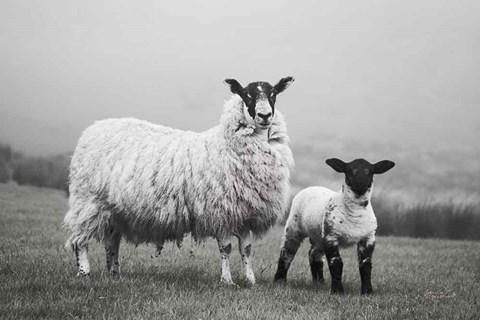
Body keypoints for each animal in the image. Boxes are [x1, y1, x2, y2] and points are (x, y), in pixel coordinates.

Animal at [63, 77, 296, 284]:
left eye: (273, 94)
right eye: (246, 95)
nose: (264, 115)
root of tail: (93, 129)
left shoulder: (246, 212)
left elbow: (246, 249)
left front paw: (250, 280)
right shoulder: (221, 210)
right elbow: (226, 248)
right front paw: (227, 281)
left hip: (115, 209)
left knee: (112, 241)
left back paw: (114, 272)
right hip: (88, 200)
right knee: (80, 239)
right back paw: (84, 272)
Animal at [274, 157, 394, 292]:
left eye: (370, 171)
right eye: (349, 170)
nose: (361, 184)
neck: (355, 214)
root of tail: (313, 187)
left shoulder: (368, 238)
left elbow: (366, 264)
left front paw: (367, 291)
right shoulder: (331, 237)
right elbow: (336, 263)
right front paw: (337, 290)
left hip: (318, 235)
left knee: (314, 253)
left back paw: (319, 282)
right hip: (294, 227)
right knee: (287, 253)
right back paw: (279, 281)